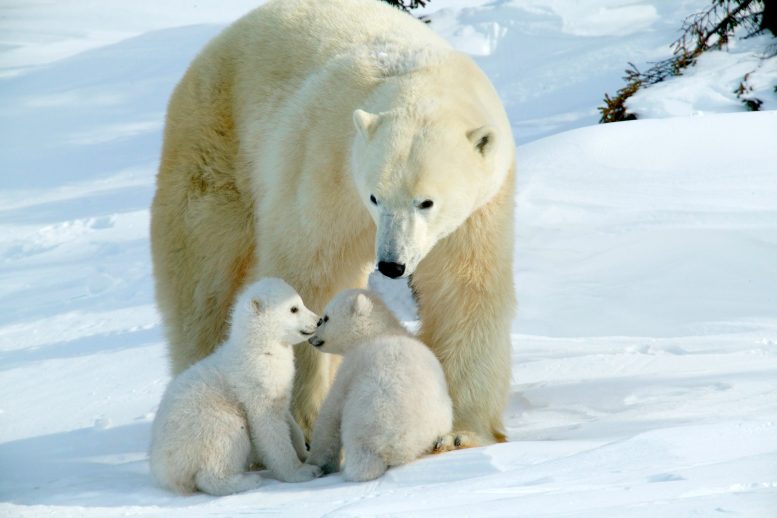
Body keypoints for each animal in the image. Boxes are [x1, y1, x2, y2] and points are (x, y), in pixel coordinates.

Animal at [149, 278, 322, 496]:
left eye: (300, 302)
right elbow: (268, 427)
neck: (259, 348)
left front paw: (305, 452)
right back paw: (246, 481)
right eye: (293, 308)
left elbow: (288, 419)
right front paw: (302, 471)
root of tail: (164, 470)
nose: (318, 320)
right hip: (207, 424)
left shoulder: (278, 385)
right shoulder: (255, 382)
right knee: (225, 443)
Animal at [150, 0, 516, 447]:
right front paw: (305, 421)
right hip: (215, 144)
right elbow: (309, 273)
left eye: (426, 202)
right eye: (375, 196)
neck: (419, 77)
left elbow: (463, 289)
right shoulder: (326, 167)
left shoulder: (478, 210)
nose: (391, 264)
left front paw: (461, 431)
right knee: (204, 279)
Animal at [305, 289, 453, 481]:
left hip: (367, 419)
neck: (379, 331)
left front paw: (316, 462)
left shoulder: (353, 365)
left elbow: (331, 413)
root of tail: (396, 449)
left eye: (325, 318)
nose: (311, 339)